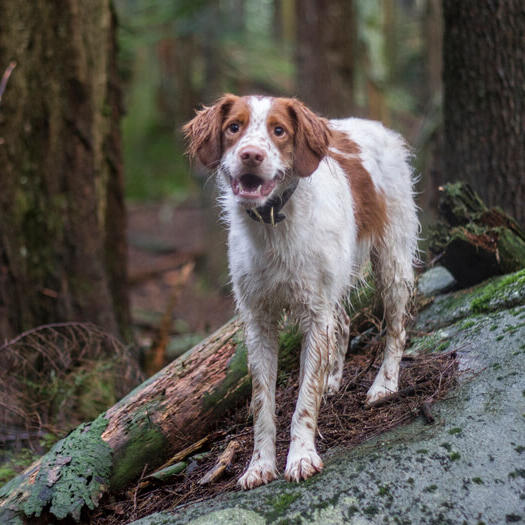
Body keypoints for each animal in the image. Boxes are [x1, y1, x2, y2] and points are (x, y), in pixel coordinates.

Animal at [184, 93, 418, 488]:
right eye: (234, 127)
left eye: (279, 130)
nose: (250, 154)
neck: (273, 223)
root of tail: (375, 125)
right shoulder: (259, 320)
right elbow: (262, 402)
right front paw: (259, 465)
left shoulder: (314, 311)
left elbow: (304, 400)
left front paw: (302, 457)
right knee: (342, 323)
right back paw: (333, 379)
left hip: (392, 261)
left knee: (396, 327)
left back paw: (384, 385)